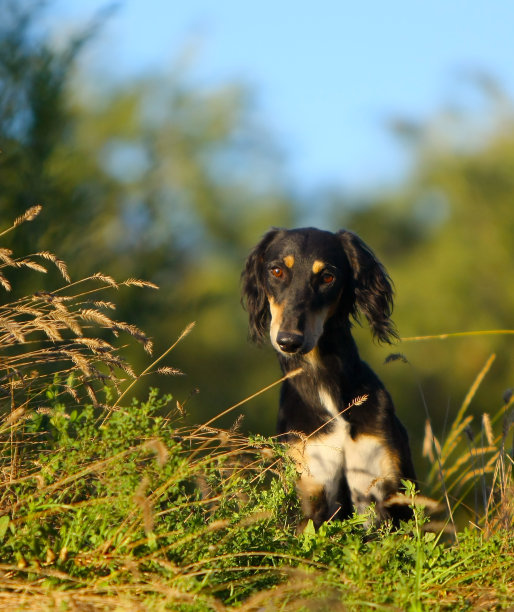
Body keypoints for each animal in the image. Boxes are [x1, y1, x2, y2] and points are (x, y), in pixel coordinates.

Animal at [241, 227, 416, 528]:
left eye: (327, 277)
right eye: (276, 271)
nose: (289, 340)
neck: (323, 384)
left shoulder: (382, 487)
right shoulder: (312, 491)